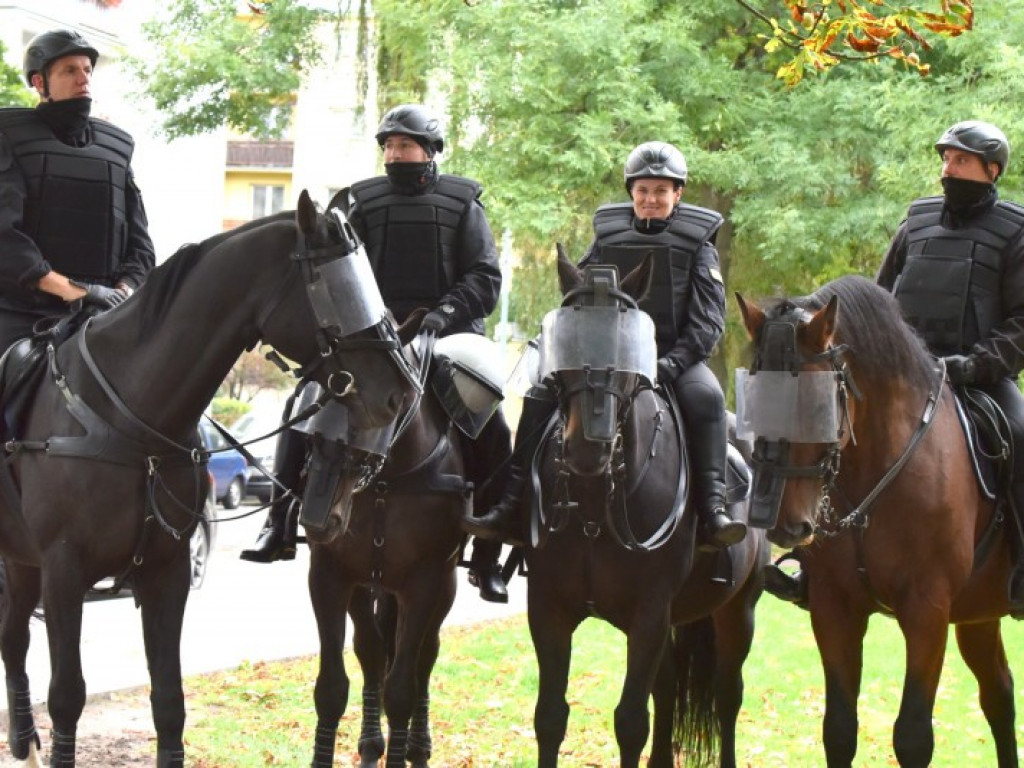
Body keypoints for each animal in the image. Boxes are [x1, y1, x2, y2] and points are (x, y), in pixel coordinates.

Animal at [1, 188, 415, 768]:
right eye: (334, 290)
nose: (401, 393)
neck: (131, 420)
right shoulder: (63, 572)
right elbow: (66, 697)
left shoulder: (167, 571)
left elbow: (169, 700)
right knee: (15, 640)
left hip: (22, 562)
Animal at [524, 256, 765, 765]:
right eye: (568, 335)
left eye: (627, 340)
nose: (588, 448)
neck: (595, 505)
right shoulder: (549, 607)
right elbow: (550, 716)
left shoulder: (650, 614)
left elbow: (631, 722)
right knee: (669, 688)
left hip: (738, 610)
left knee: (727, 696)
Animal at [741, 276, 1019, 768]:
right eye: (754, 398)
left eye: (817, 406)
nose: (783, 526)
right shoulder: (835, 608)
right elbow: (838, 731)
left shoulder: (927, 611)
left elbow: (912, 738)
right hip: (979, 614)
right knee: (999, 696)